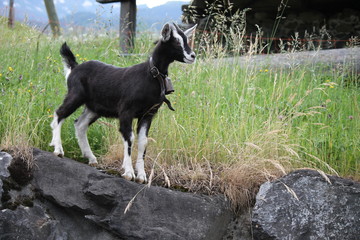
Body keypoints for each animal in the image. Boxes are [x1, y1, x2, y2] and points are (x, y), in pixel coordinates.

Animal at [50, 23, 197, 184]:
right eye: (176, 41)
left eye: (186, 39)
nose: (192, 56)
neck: (150, 75)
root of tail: (74, 67)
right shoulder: (126, 111)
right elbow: (129, 137)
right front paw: (128, 173)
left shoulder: (148, 114)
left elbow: (143, 141)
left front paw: (142, 176)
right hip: (76, 95)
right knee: (59, 113)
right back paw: (58, 149)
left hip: (94, 108)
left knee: (80, 124)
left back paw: (91, 157)